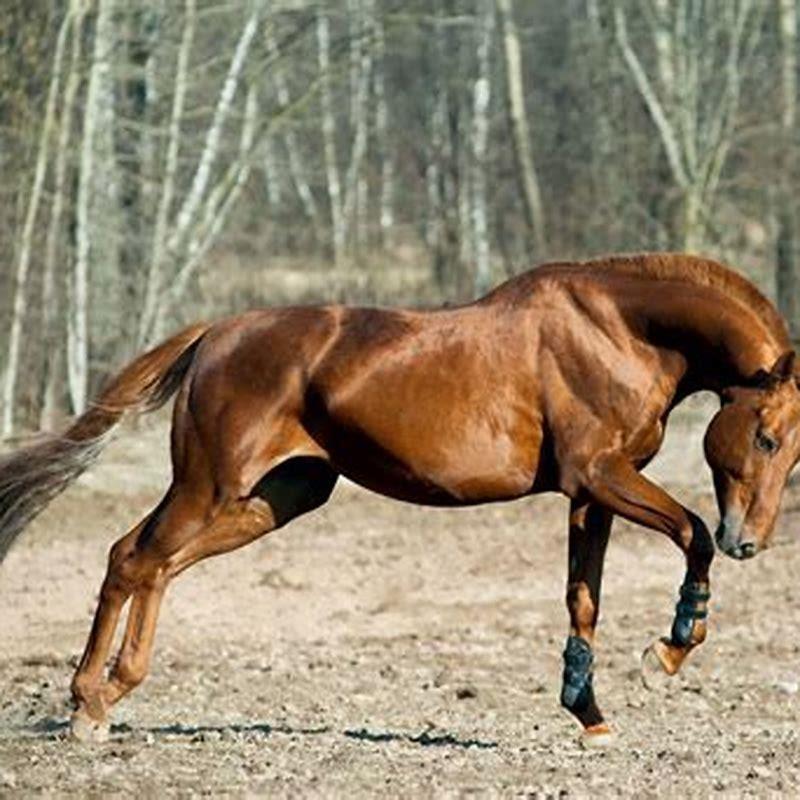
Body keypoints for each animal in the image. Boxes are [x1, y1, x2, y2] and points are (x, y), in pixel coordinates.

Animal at [1, 252, 798, 746]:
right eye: (766, 437)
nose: (749, 541)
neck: (620, 329)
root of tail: (215, 336)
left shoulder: (592, 491)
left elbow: (584, 598)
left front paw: (589, 713)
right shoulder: (603, 474)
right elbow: (690, 532)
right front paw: (669, 649)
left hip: (271, 500)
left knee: (151, 563)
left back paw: (108, 695)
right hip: (209, 487)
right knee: (133, 559)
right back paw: (88, 704)